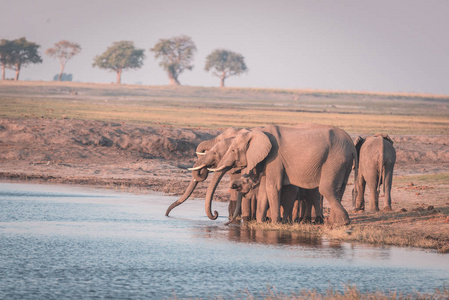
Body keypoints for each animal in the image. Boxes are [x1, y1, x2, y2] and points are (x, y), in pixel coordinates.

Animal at [207, 123, 356, 225]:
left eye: (233, 150)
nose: (215, 214)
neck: (257, 132)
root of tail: (352, 144)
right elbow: (264, 189)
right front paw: (260, 223)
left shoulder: (275, 157)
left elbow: (272, 186)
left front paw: (274, 223)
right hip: (343, 161)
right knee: (339, 189)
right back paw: (335, 222)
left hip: (334, 159)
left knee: (326, 189)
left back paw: (342, 223)